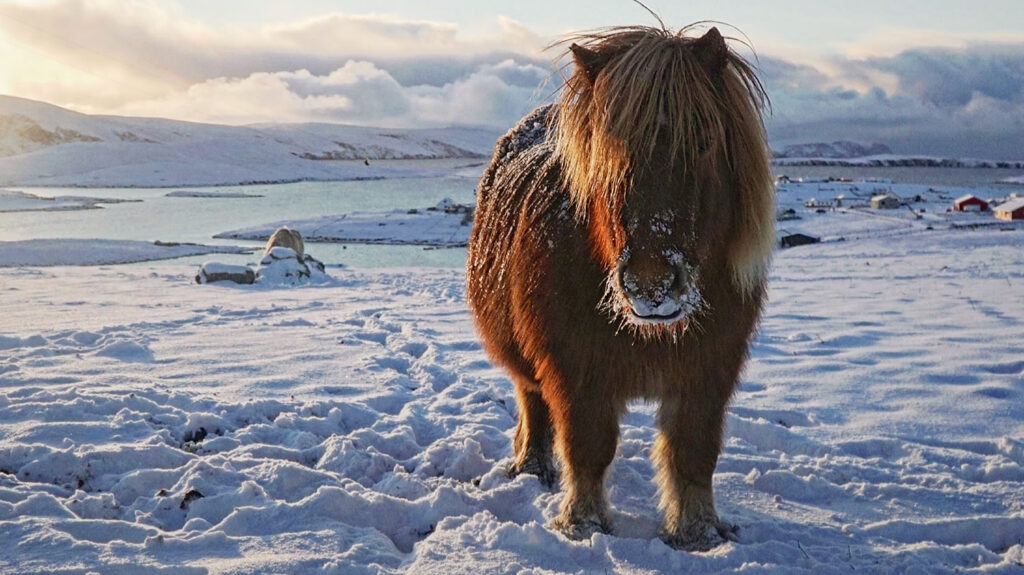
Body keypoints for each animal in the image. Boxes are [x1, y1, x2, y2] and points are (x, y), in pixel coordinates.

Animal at [466, 24, 774, 550]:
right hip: (522, 354)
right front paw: (583, 524)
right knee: (532, 401)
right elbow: (587, 446)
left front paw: (697, 533)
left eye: (704, 142)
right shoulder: (575, 368)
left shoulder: (710, 368)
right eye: (604, 154)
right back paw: (531, 468)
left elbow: (693, 451)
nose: (651, 285)